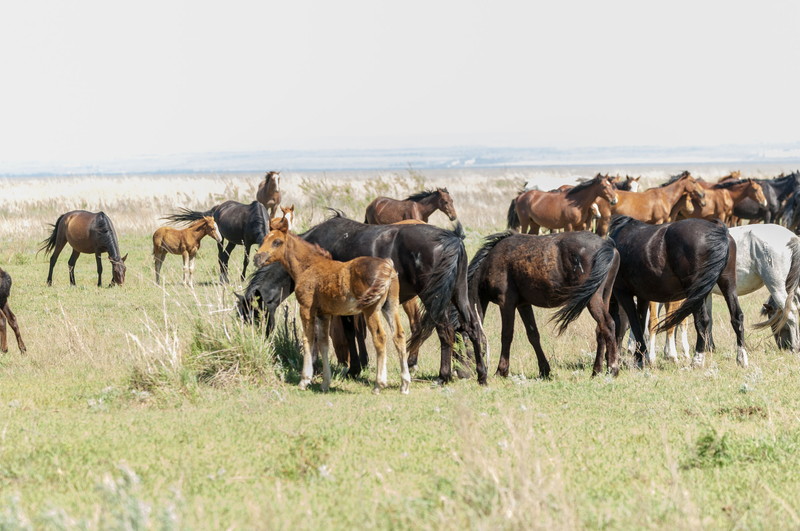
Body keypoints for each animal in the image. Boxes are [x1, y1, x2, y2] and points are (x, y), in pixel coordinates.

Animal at [253, 214, 410, 392]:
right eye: (264, 239)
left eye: (277, 242)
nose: (257, 258)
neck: (308, 266)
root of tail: (387, 267)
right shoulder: (324, 314)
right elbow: (323, 343)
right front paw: (325, 383)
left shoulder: (306, 309)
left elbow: (308, 340)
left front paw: (304, 380)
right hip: (390, 306)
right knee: (399, 335)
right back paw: (404, 384)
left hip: (371, 309)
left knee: (380, 337)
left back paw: (379, 384)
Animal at [466, 233, 620, 378]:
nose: (467, 372)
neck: (490, 262)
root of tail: (607, 245)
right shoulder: (523, 305)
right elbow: (533, 335)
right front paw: (544, 370)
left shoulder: (506, 303)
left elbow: (506, 335)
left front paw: (501, 370)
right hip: (604, 296)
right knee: (600, 330)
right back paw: (596, 371)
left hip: (593, 300)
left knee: (608, 325)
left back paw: (613, 369)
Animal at [608, 216, 748, 370]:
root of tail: (719, 230)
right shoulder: (642, 296)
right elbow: (641, 322)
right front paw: (641, 357)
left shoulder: (623, 293)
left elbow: (635, 324)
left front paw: (639, 360)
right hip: (727, 283)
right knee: (737, 317)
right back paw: (741, 358)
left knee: (702, 321)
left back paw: (697, 359)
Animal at [648, 224, 800, 362]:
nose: (783, 346)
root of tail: (791, 238)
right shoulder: (705, 294)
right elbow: (707, 320)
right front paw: (709, 348)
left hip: (775, 286)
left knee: (791, 313)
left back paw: (795, 347)